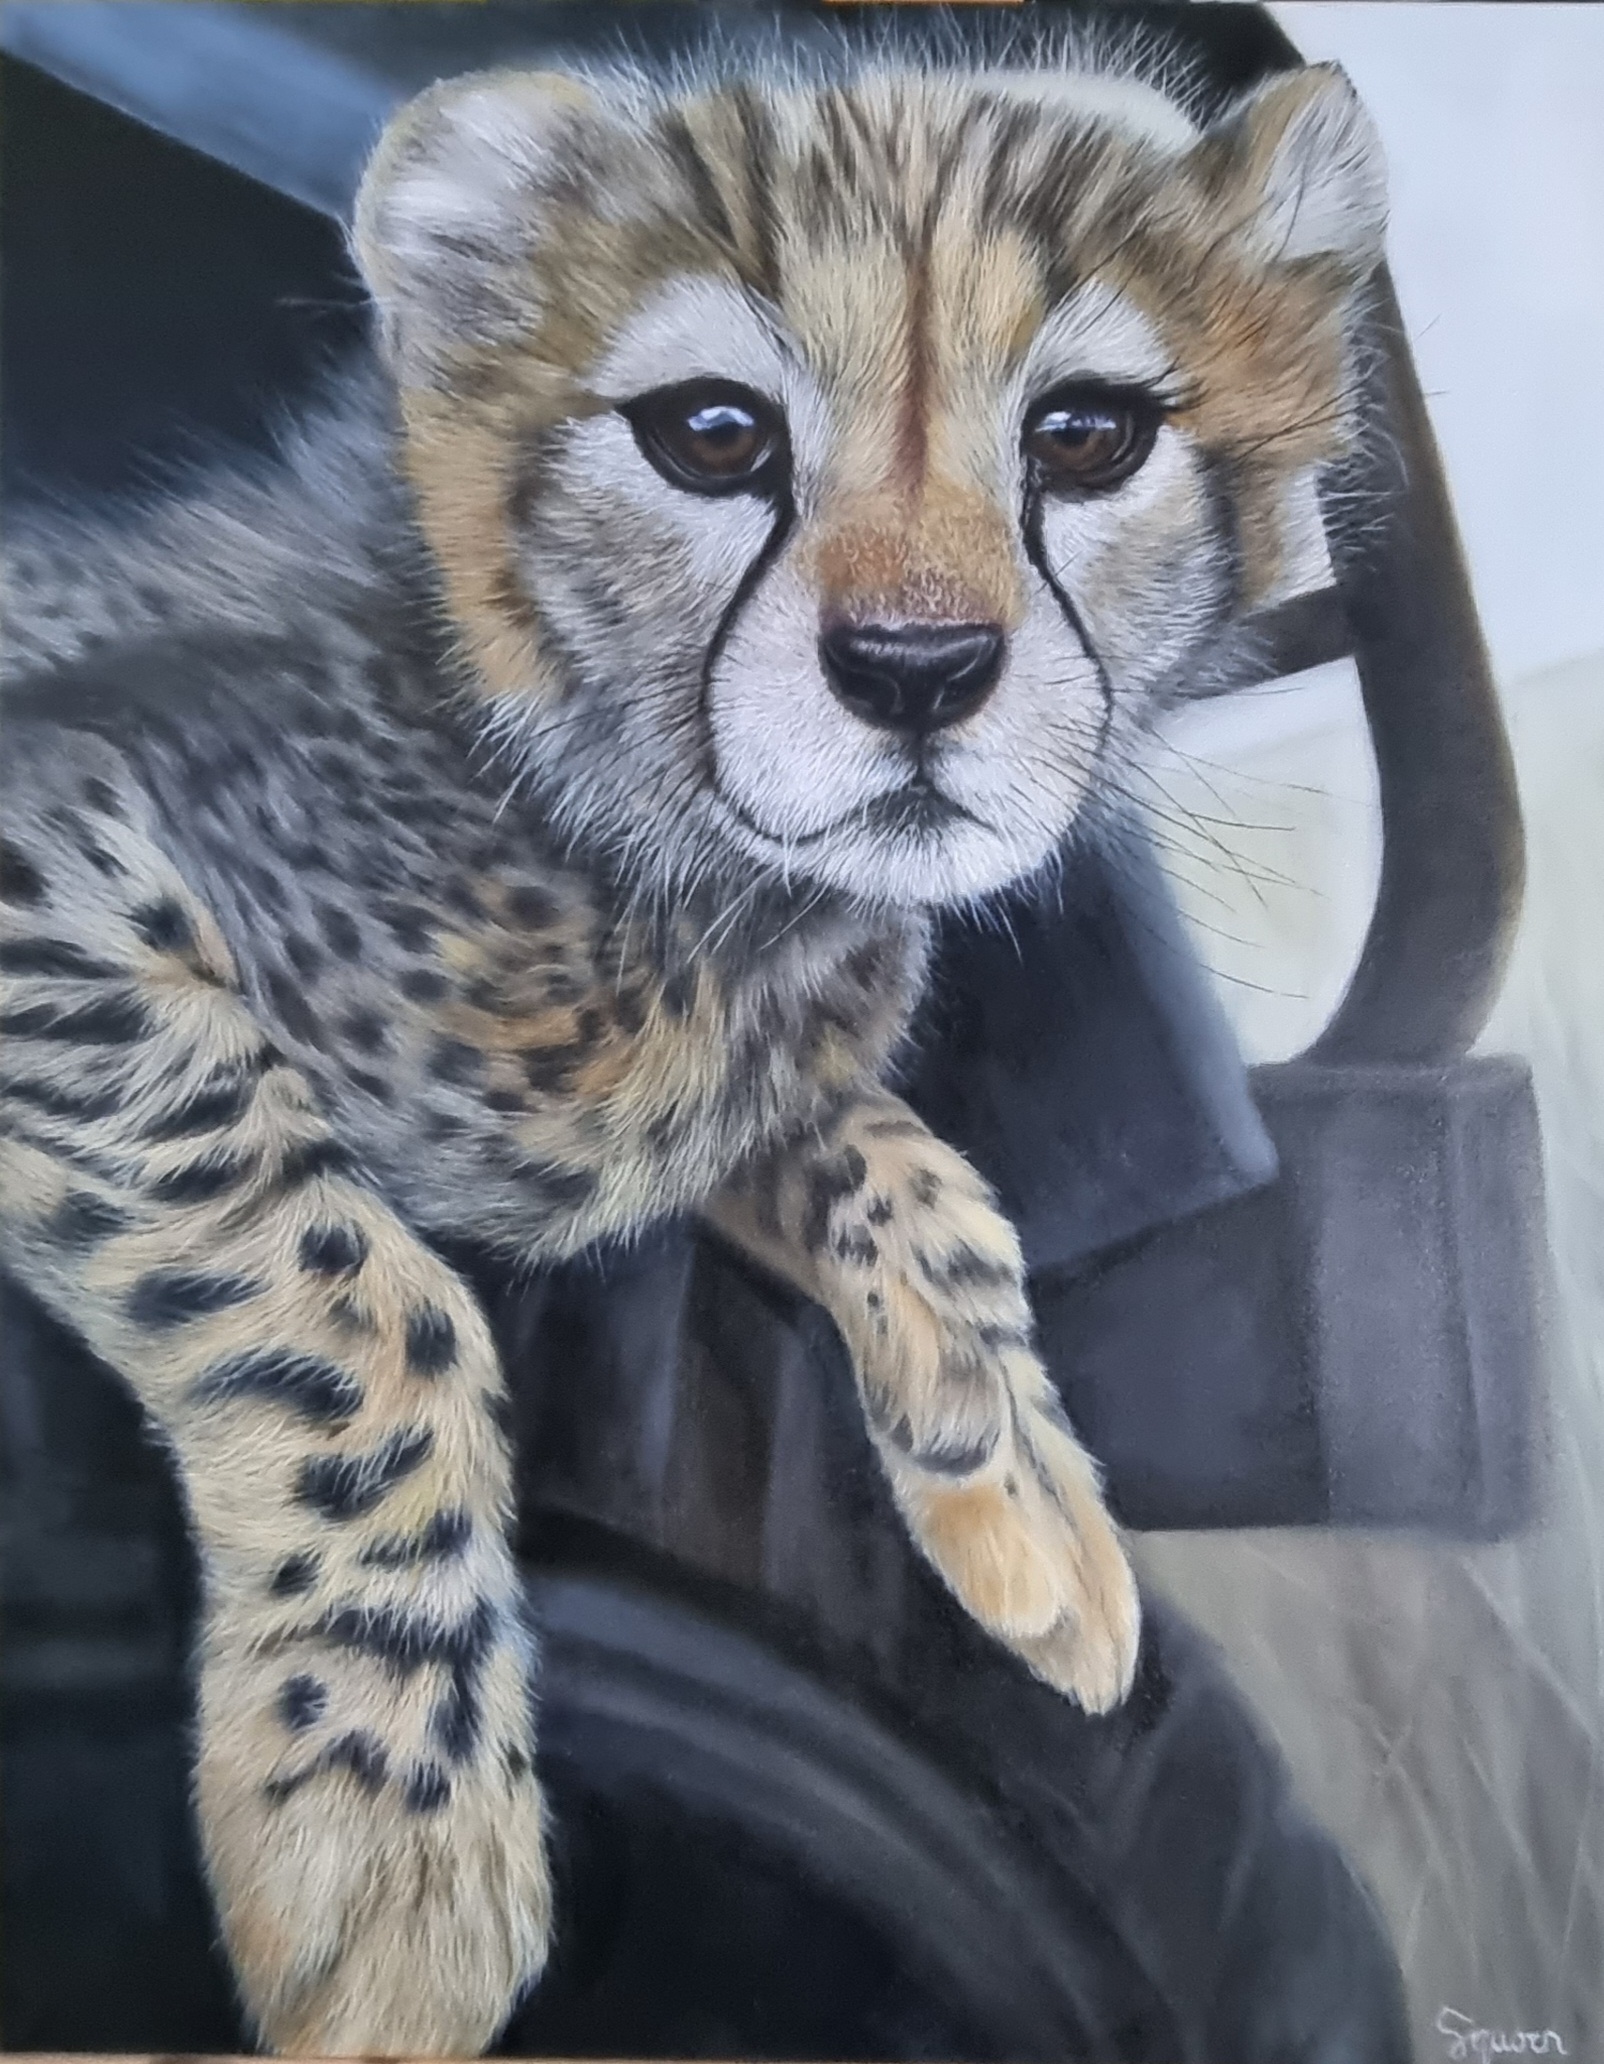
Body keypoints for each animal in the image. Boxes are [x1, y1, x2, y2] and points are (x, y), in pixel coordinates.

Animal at [0, 27, 1385, 2056]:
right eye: (711, 434)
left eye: (1086, 435)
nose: (913, 671)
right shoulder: (48, 820)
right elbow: (341, 1266)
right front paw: (388, 1824)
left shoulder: (730, 1080)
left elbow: (897, 1160)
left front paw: (1019, 1480)